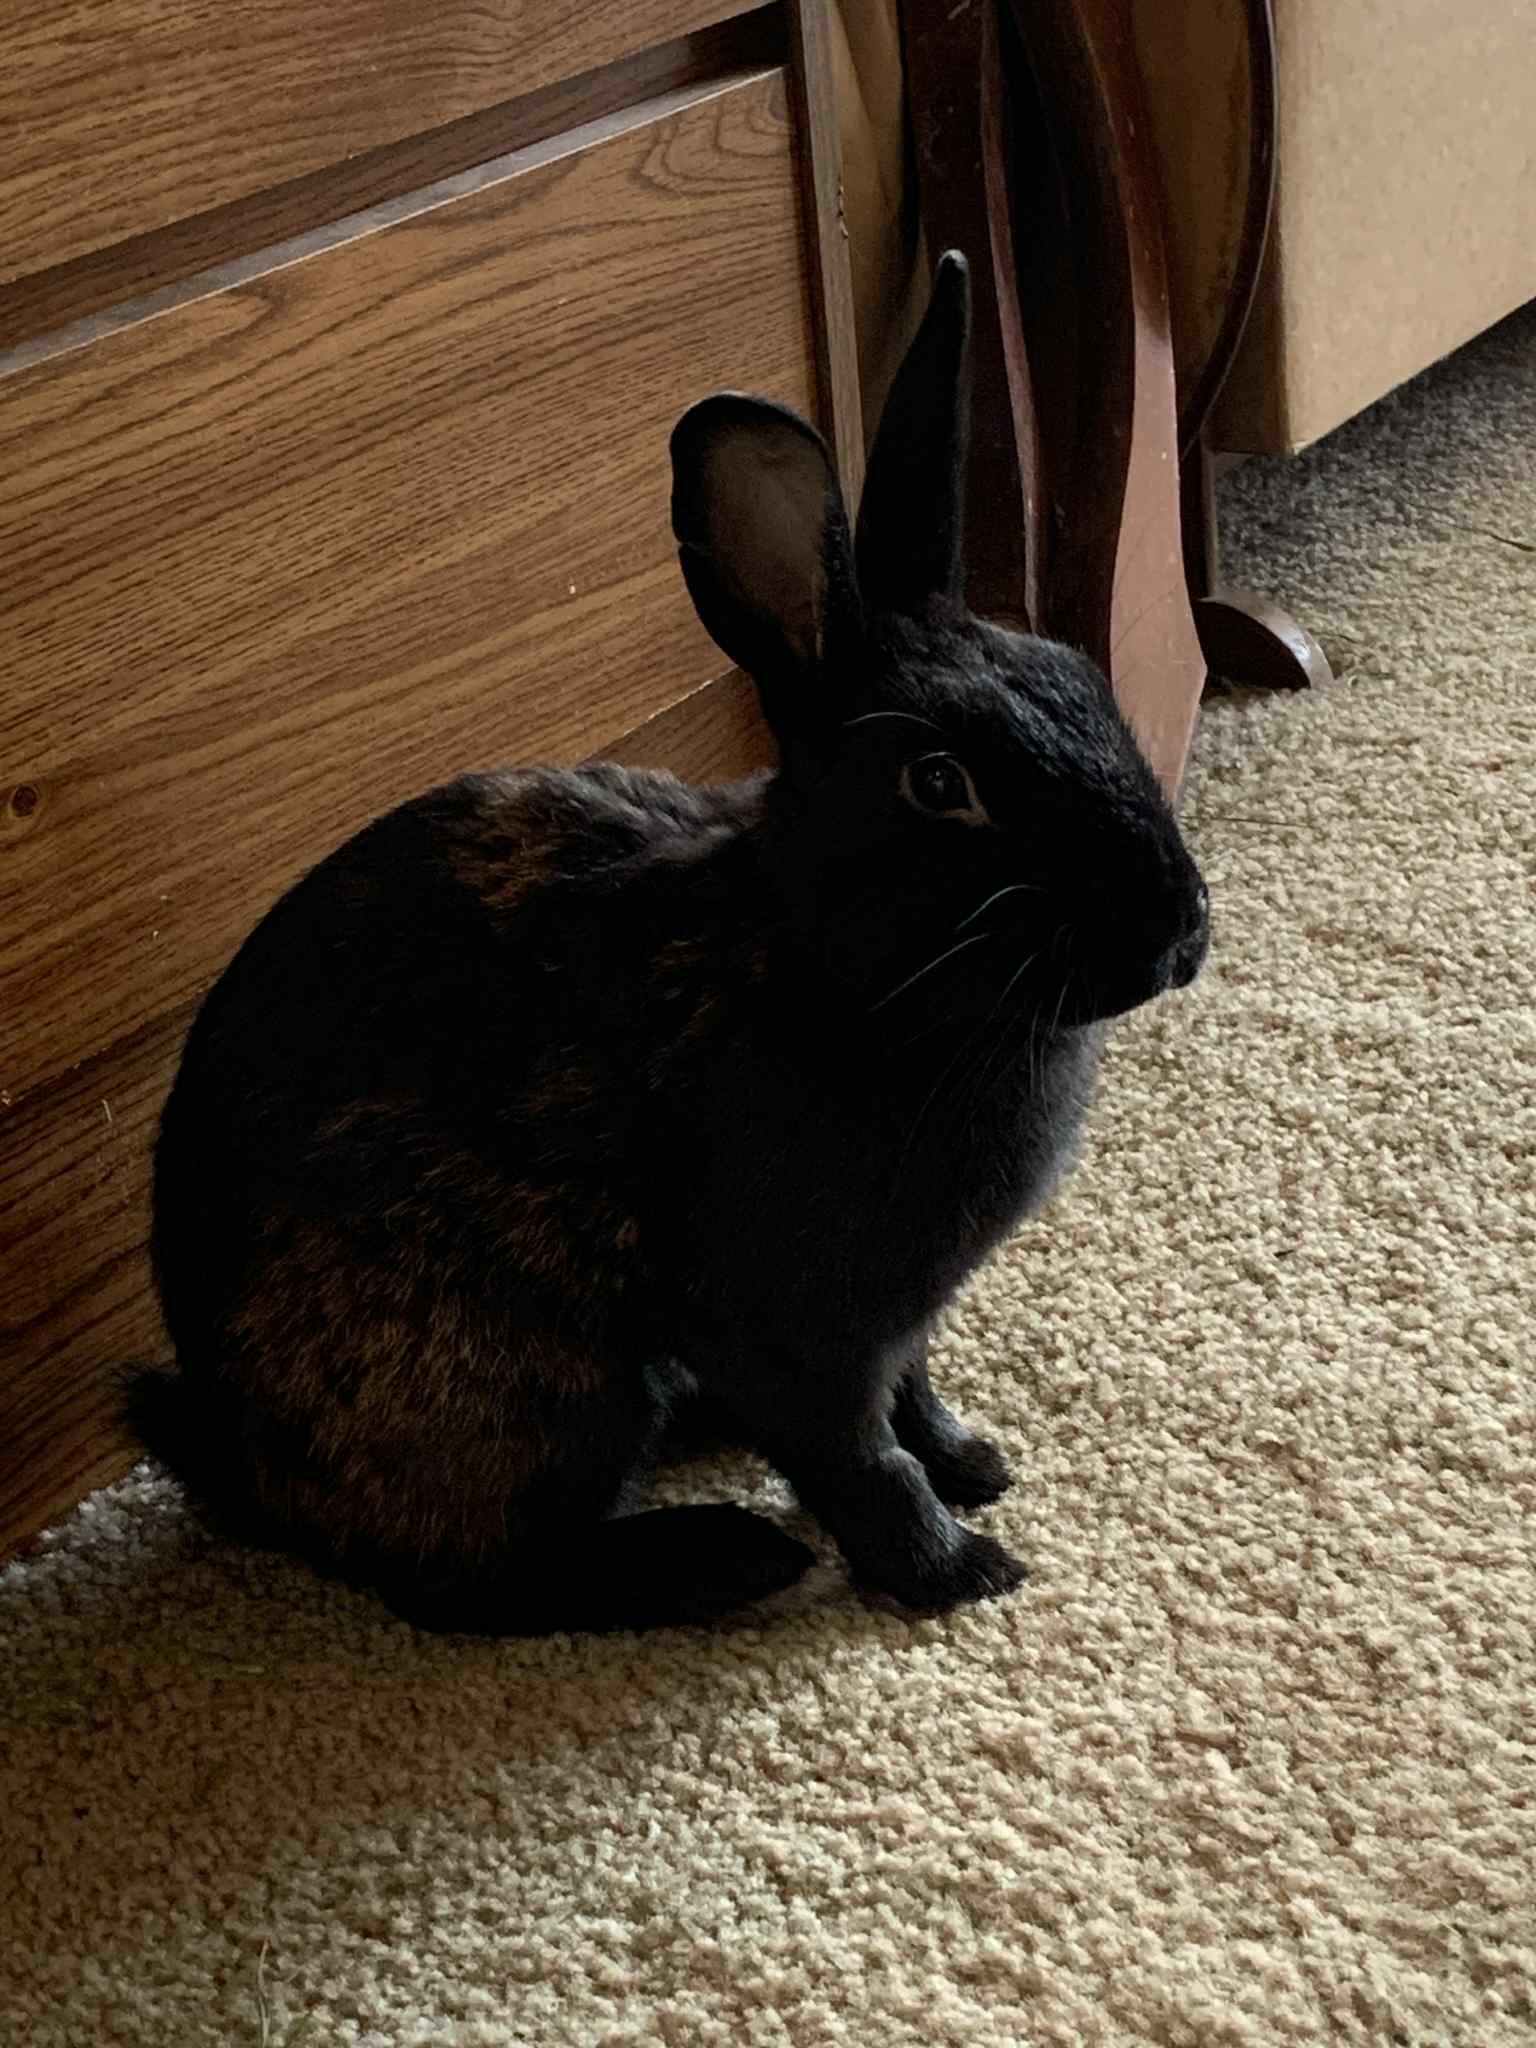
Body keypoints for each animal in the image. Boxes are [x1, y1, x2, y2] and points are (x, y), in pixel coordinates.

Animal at [128, 251, 1209, 1636]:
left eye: (1077, 672)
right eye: (939, 782)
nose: (1179, 932)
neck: (829, 975)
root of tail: (237, 1461)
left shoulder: (894, 1323)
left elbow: (911, 1401)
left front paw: (978, 1463)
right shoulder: (797, 1327)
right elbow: (860, 1455)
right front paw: (956, 1568)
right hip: (530, 1380)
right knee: (471, 1579)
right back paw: (727, 1556)